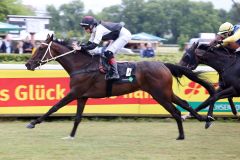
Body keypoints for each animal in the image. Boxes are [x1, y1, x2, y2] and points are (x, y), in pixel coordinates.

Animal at [25, 35, 215, 140]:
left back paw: (183, 134)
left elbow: (54, 107)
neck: (82, 65)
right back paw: (203, 119)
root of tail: (163, 64)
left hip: (160, 94)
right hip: (165, 92)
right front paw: (70, 136)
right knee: (184, 103)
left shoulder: (74, 92)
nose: (28, 64)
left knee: (175, 111)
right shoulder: (82, 96)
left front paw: (33, 122)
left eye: (41, 48)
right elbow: (77, 118)